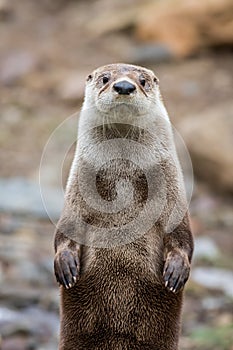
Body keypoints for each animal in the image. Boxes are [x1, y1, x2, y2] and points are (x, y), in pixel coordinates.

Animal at [53, 63, 194, 350]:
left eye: (143, 81)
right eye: (105, 79)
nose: (125, 86)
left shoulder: (175, 199)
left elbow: (182, 237)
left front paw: (176, 270)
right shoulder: (74, 198)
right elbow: (66, 230)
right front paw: (65, 263)